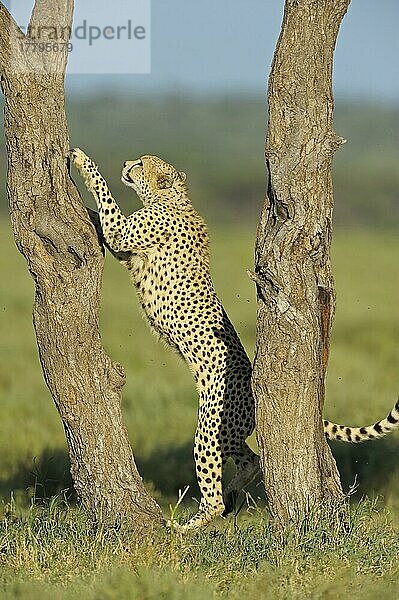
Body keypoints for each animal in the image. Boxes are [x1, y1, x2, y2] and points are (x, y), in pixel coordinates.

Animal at [70, 149, 399, 528]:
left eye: (140, 165)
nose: (126, 164)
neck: (173, 197)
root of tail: (255, 380)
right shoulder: (129, 251)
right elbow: (106, 221)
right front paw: (84, 207)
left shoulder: (125, 235)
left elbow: (107, 203)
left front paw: (81, 162)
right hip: (228, 430)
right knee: (251, 460)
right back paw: (233, 492)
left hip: (211, 427)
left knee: (217, 485)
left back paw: (188, 524)